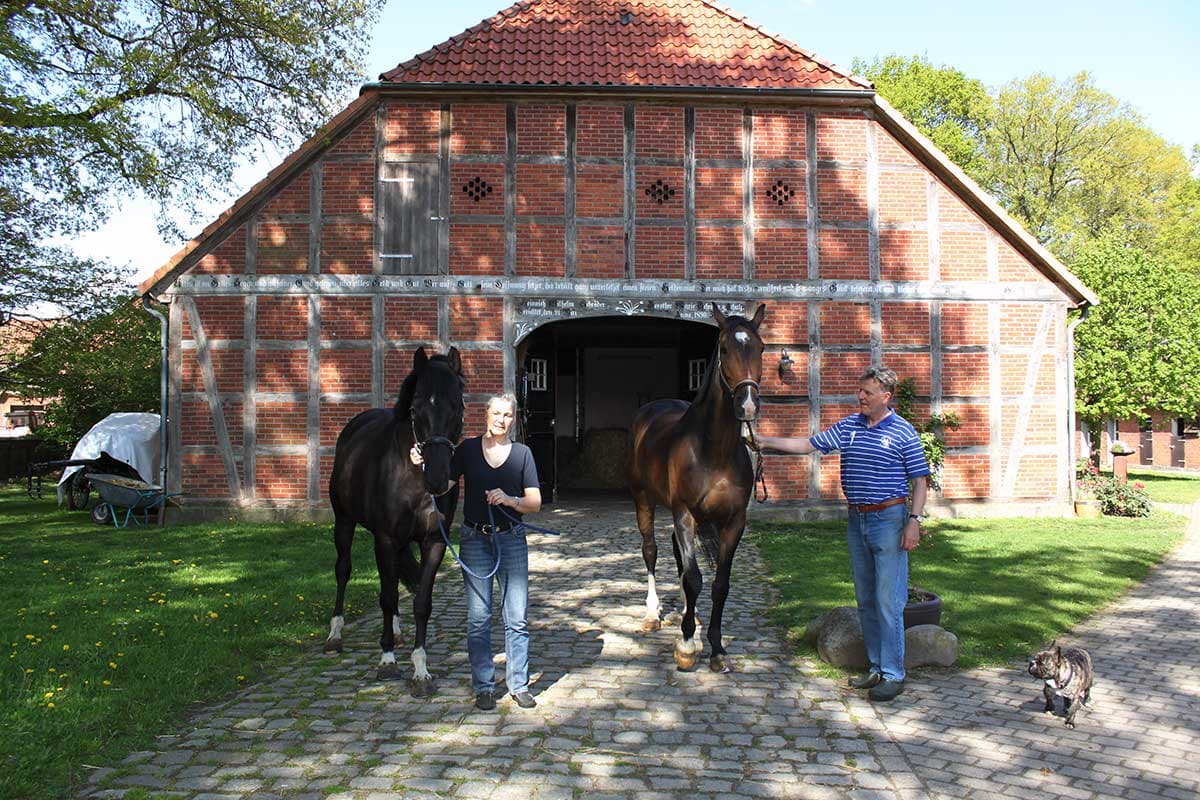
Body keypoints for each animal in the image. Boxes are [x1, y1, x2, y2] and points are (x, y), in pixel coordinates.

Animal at [324, 345, 463, 695]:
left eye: (458, 407)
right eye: (415, 408)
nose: (438, 478)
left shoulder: (434, 542)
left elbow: (422, 602)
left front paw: (421, 671)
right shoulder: (384, 538)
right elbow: (386, 597)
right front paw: (386, 661)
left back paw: (398, 634)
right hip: (344, 523)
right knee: (343, 570)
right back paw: (335, 635)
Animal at [624, 303, 763, 671]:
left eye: (761, 348)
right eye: (725, 349)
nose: (747, 405)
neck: (713, 449)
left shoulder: (733, 522)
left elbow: (719, 584)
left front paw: (715, 648)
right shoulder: (684, 513)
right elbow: (696, 577)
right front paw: (686, 646)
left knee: (677, 555)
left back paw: (691, 615)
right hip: (644, 500)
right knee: (651, 551)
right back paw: (652, 615)